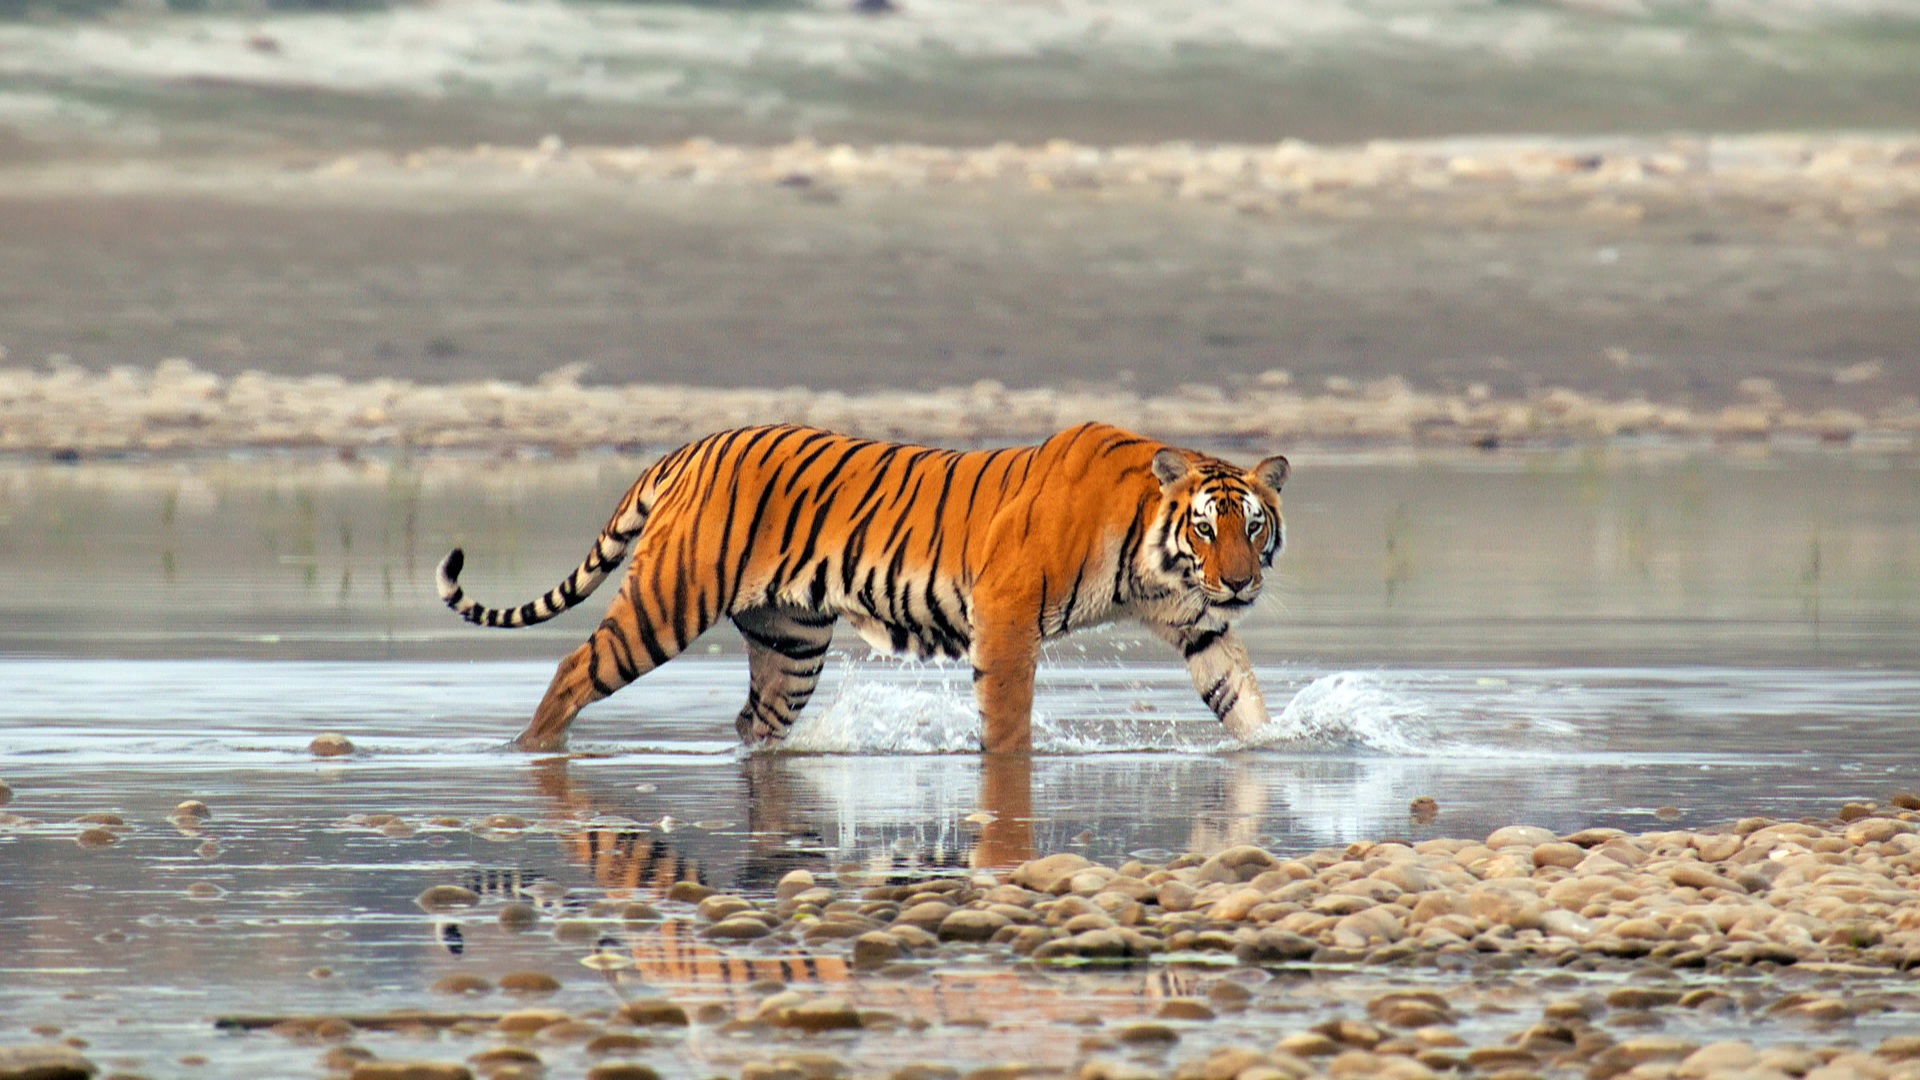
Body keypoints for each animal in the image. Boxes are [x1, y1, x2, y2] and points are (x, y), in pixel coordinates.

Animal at [436, 422, 1289, 754]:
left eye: (1253, 527)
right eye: (1206, 528)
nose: (1239, 583)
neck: (1154, 554)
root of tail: (687, 448)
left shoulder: (1195, 620)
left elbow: (1236, 691)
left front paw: (1276, 749)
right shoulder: (1007, 614)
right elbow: (1008, 716)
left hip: (789, 643)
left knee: (754, 722)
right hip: (667, 603)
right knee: (572, 670)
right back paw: (531, 751)